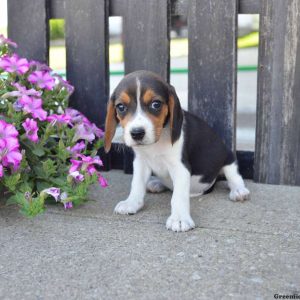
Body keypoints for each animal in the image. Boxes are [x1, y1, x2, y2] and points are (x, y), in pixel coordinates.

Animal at [104, 69, 250, 232]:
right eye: (121, 107)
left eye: (156, 104)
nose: (137, 133)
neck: (156, 143)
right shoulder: (141, 162)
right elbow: (136, 185)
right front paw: (131, 203)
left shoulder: (180, 167)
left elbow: (178, 196)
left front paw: (179, 219)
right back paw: (157, 184)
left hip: (227, 156)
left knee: (234, 175)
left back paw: (238, 191)